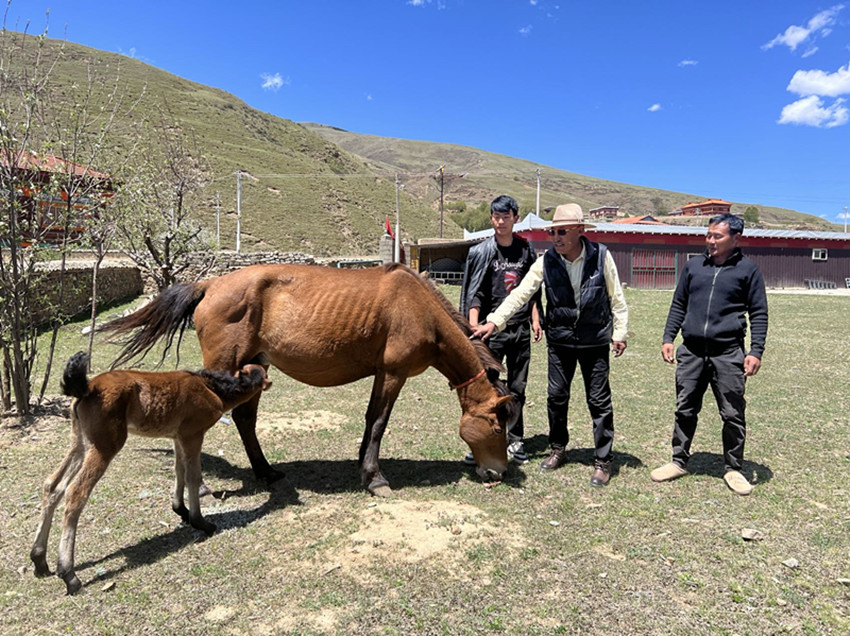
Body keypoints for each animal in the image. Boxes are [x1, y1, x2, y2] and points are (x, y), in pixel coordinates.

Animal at [30, 351, 272, 595]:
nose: (263, 357)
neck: (211, 388)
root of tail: (88, 388)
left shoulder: (177, 436)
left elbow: (179, 471)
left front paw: (180, 510)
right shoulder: (193, 434)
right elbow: (193, 477)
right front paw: (200, 522)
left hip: (80, 442)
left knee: (53, 485)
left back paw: (39, 560)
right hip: (104, 446)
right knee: (75, 493)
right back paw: (69, 575)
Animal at [99, 262, 515, 496]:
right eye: (497, 427)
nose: (498, 472)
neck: (419, 309)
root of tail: (210, 284)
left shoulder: (382, 375)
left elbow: (370, 420)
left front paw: (362, 467)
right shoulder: (394, 374)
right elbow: (379, 422)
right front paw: (375, 478)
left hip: (254, 368)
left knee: (245, 420)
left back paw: (266, 472)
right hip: (224, 369)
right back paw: (199, 488)